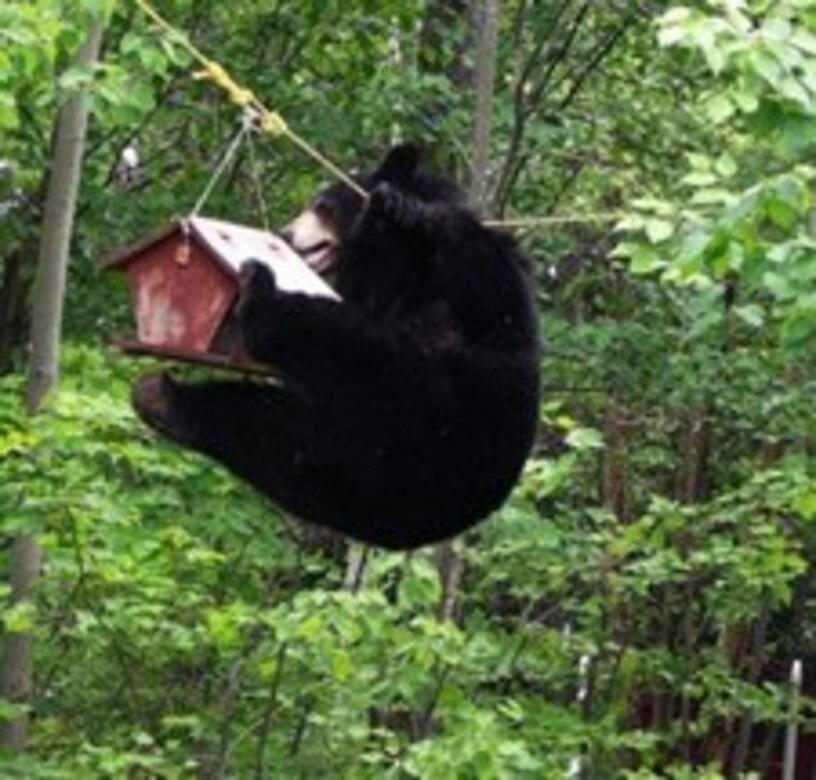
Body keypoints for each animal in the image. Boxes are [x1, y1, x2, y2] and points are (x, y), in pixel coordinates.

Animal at [132, 144, 540, 550]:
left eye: (323, 205)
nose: (286, 233)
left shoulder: (467, 305)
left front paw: (396, 209)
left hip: (402, 440)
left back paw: (259, 296)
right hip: (321, 446)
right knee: (253, 421)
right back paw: (160, 398)